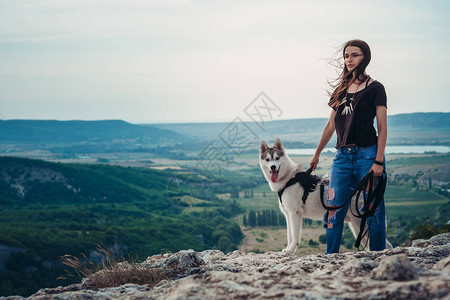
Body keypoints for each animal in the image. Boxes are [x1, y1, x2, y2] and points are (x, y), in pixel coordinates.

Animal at [260, 138, 390, 253]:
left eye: (277, 158)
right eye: (267, 159)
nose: (273, 167)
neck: (289, 178)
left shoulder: (295, 214)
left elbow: (295, 236)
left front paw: (291, 250)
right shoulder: (288, 215)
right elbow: (289, 235)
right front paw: (288, 249)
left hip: (361, 227)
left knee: (386, 245)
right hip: (358, 228)